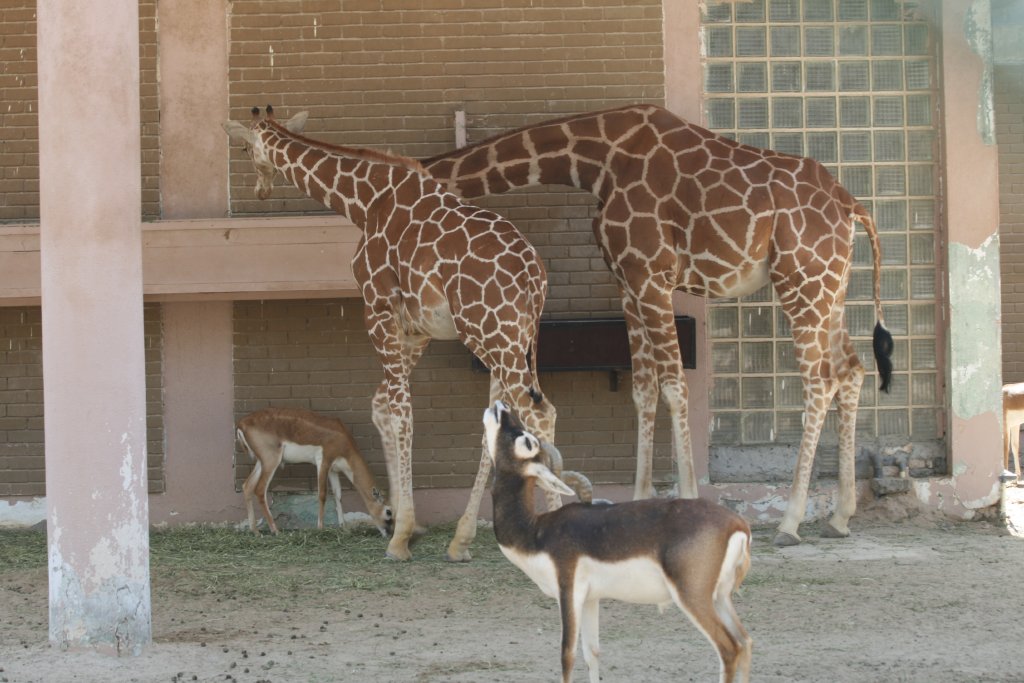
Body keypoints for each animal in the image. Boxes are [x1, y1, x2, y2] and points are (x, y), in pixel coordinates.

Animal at [223, 106, 580, 561]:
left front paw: (400, 535)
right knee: (503, 420)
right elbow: (382, 406)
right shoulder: (417, 329)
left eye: (245, 149)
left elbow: (401, 410)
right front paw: (401, 522)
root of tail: (536, 275)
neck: (365, 201)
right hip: (506, 339)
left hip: (492, 333)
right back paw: (461, 540)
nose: (261, 188)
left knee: (540, 412)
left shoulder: (377, 309)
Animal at [423, 103, 894, 547]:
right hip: (832, 287)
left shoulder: (652, 276)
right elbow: (644, 389)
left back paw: (791, 521)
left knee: (820, 381)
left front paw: (686, 498)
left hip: (802, 283)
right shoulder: (628, 281)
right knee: (851, 371)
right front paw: (639, 498)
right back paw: (840, 517)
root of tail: (852, 207)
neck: (598, 162)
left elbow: (673, 385)